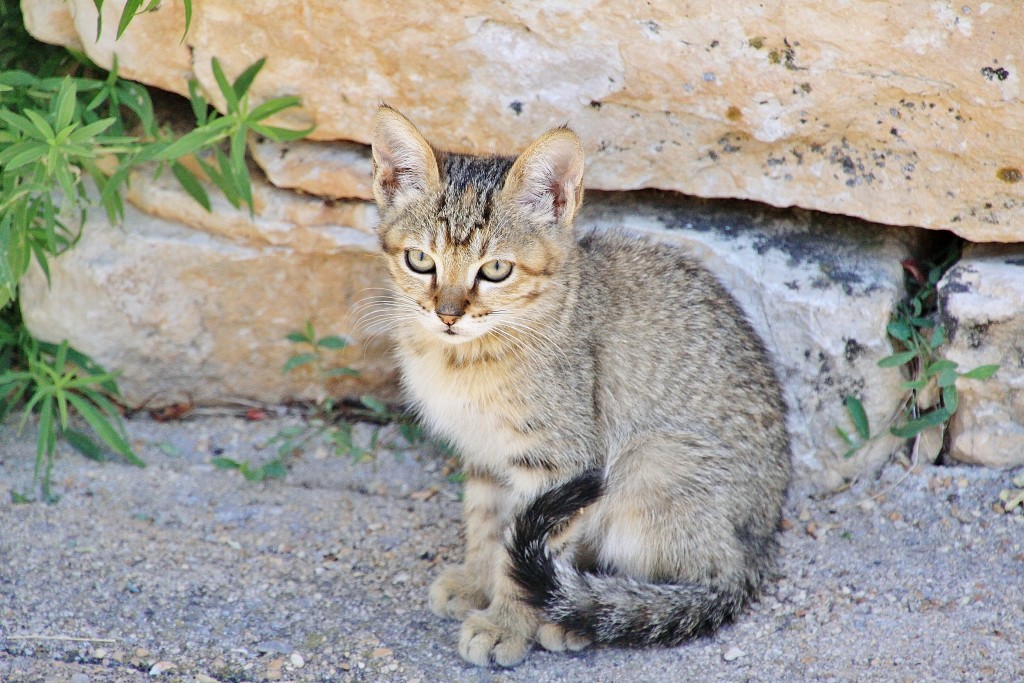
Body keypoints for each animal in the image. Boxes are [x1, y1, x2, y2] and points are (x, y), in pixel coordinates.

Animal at [366, 107, 790, 667]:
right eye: (420, 260)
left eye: (495, 269)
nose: (448, 314)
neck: (464, 362)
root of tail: (761, 545)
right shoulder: (484, 454)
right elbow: (485, 525)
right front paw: (477, 581)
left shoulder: (558, 462)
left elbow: (516, 553)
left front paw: (506, 625)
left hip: (649, 466)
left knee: (695, 576)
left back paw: (580, 618)